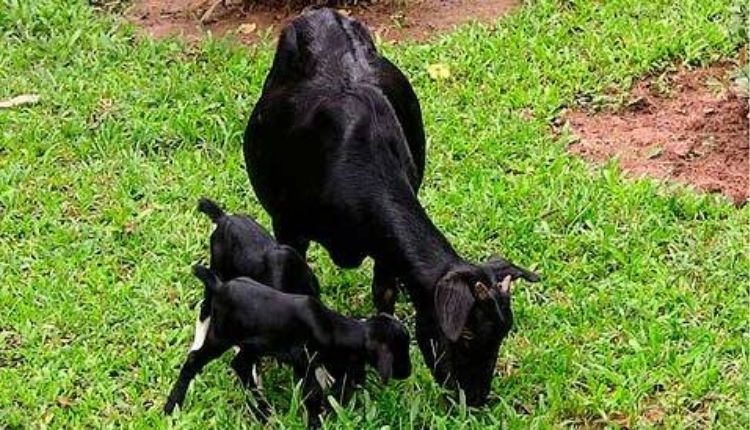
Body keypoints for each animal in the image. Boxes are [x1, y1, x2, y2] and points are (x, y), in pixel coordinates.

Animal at [164, 268, 412, 424]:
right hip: (221, 335)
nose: (407, 372)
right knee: (195, 360)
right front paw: (317, 421)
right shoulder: (304, 360)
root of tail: (220, 285)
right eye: (398, 349)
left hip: (252, 344)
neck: (335, 328)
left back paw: (263, 412)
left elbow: (338, 388)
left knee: (240, 365)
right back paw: (172, 406)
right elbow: (313, 394)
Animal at [242, 9, 540, 406]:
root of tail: (323, 14)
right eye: (466, 335)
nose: (475, 397)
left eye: (503, 334)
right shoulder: (289, 226)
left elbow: (384, 294)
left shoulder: (384, 250)